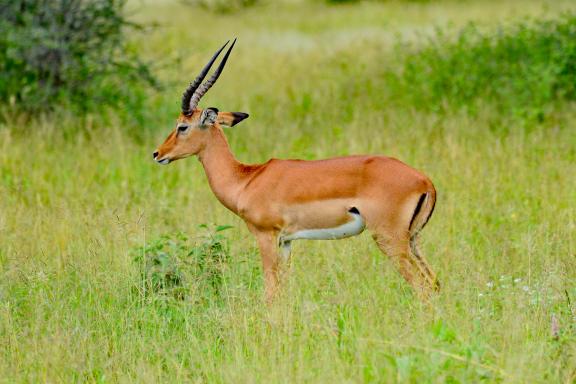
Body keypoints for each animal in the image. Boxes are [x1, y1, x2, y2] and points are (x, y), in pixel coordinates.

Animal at [154, 39, 440, 304]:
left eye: (182, 126)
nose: (157, 154)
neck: (246, 180)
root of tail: (425, 181)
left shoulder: (266, 237)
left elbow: (270, 292)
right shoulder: (286, 242)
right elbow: (283, 291)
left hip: (389, 239)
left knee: (422, 286)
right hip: (412, 240)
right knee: (434, 282)